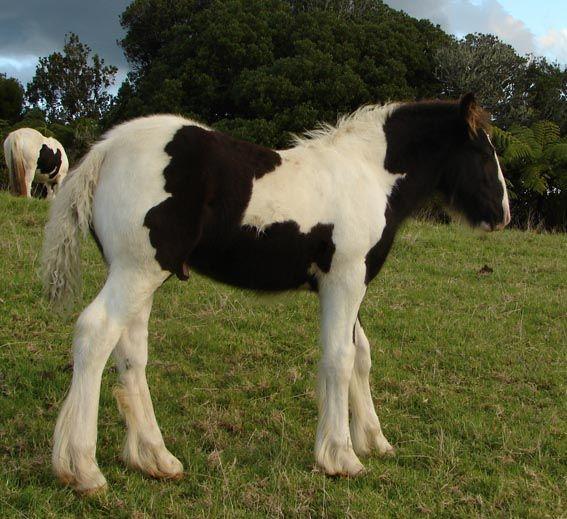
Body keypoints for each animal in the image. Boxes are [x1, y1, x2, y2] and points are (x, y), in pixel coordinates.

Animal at [41, 94, 510, 496]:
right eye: (483, 152)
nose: (502, 214)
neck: (369, 174)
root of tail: (107, 149)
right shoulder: (344, 279)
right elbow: (339, 358)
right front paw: (340, 457)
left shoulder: (350, 283)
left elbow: (361, 355)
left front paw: (374, 441)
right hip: (137, 270)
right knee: (95, 333)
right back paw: (83, 469)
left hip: (141, 274)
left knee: (131, 353)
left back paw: (155, 459)